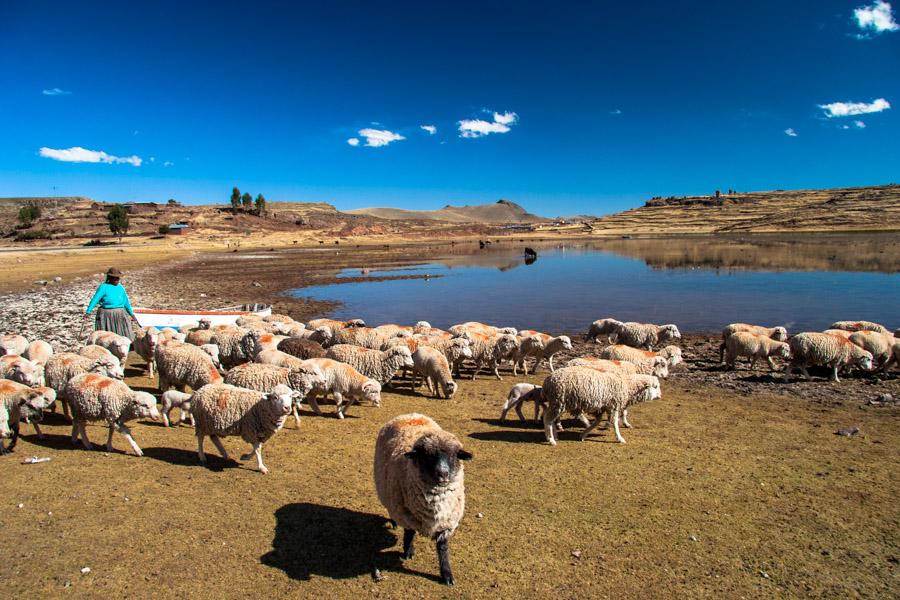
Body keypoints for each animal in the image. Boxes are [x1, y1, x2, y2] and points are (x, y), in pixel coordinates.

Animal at [372, 412, 472, 584]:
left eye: (454, 455)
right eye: (427, 456)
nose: (443, 474)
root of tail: (410, 414)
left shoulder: (447, 522)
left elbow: (443, 547)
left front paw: (446, 574)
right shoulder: (407, 515)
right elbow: (409, 534)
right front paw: (408, 551)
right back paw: (393, 523)